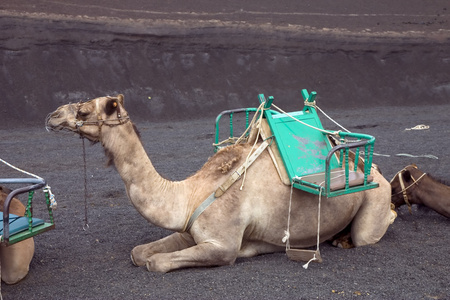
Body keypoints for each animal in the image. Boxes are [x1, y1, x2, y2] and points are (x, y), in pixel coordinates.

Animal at [45, 95, 396, 274]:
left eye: (84, 110)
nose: (52, 115)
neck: (190, 193)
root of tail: (373, 171)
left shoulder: (223, 246)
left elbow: (155, 263)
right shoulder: (189, 230)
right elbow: (139, 252)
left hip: (375, 202)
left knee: (372, 229)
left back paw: (349, 238)